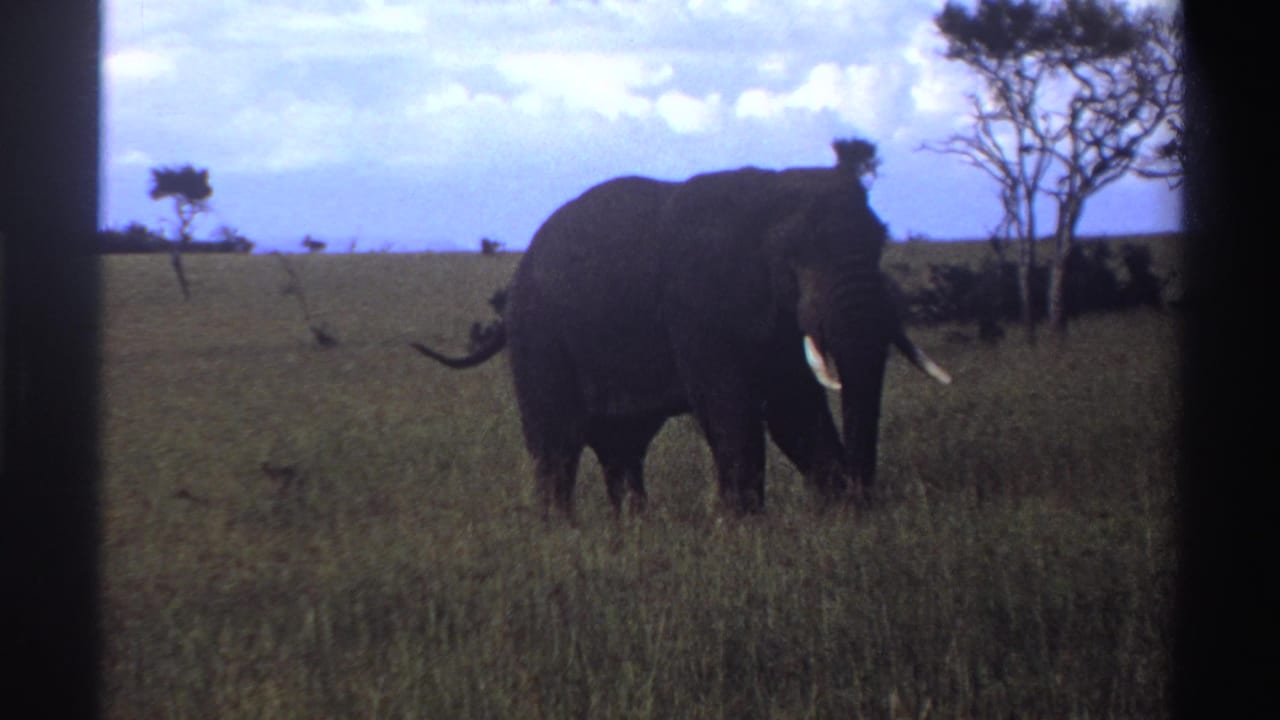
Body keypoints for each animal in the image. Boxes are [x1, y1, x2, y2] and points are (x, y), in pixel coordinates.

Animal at [412, 147, 950, 517]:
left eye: (881, 243)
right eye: (798, 256)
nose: (865, 497)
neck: (768, 194)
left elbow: (794, 411)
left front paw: (839, 514)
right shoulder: (695, 304)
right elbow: (733, 409)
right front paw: (743, 529)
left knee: (621, 447)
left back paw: (633, 528)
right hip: (539, 335)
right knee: (556, 444)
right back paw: (560, 534)